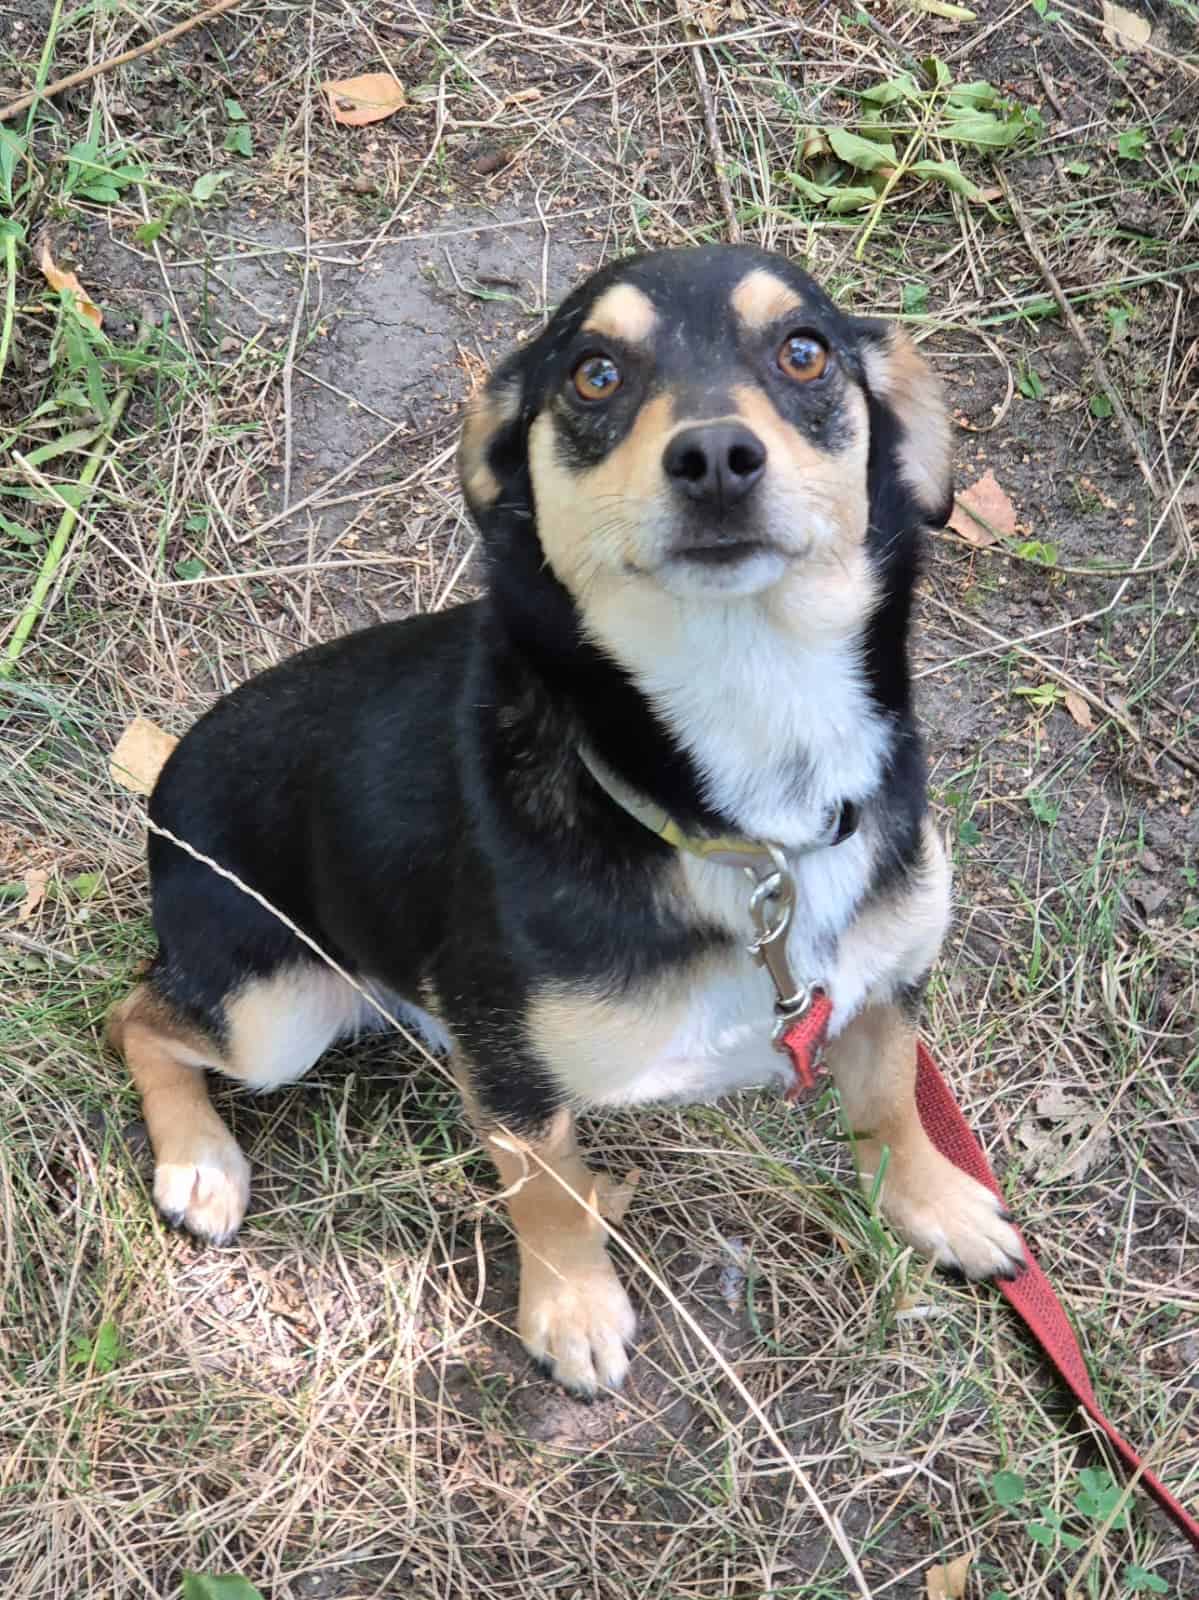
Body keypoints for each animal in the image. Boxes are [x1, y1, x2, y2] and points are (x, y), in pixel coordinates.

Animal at [109, 244, 1023, 1397]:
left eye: (803, 352)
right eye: (594, 373)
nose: (715, 457)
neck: (748, 789)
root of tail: (168, 777)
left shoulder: (886, 982)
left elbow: (893, 1099)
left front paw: (935, 1204)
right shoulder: (511, 1078)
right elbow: (548, 1192)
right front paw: (573, 1312)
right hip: (272, 1010)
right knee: (136, 1015)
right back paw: (199, 1162)